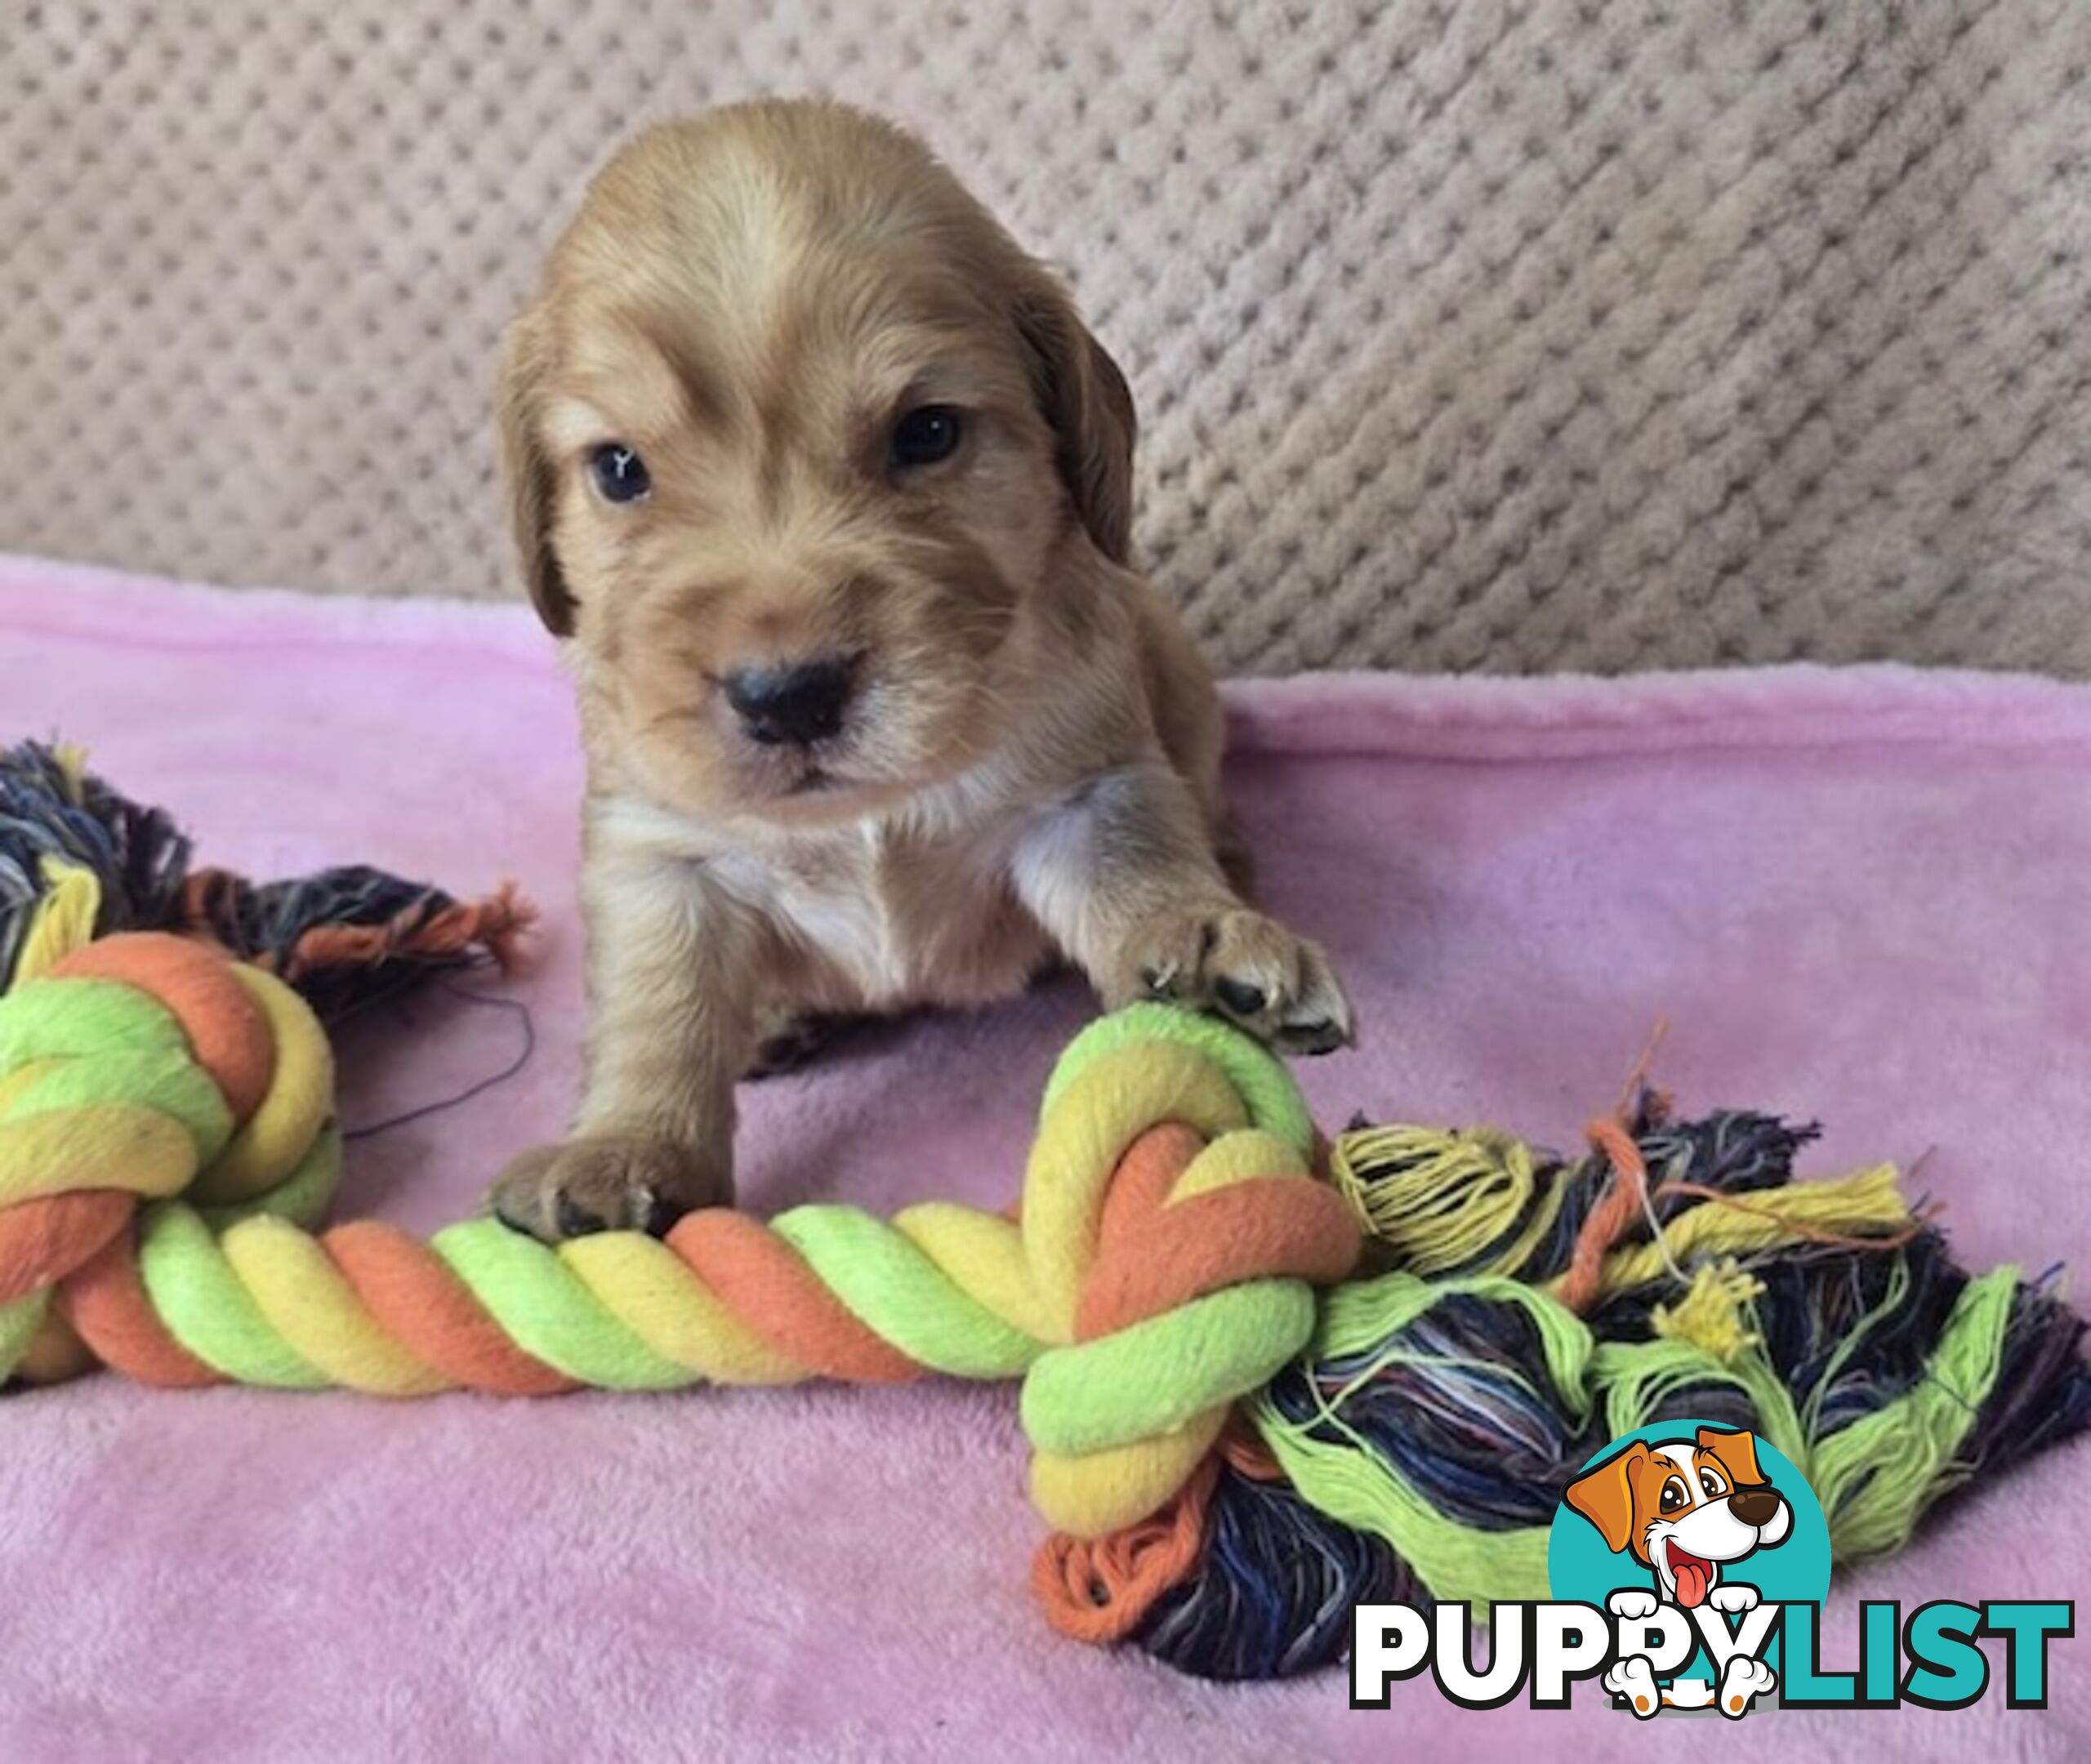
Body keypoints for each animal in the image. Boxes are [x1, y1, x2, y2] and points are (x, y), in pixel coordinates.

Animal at [484, 100, 1354, 1237]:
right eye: (620, 469)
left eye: (928, 431)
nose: (788, 696)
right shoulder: (659, 853)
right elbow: (656, 1011)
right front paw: (625, 1146)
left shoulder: (1084, 789)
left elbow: (1138, 867)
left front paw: (1201, 943)